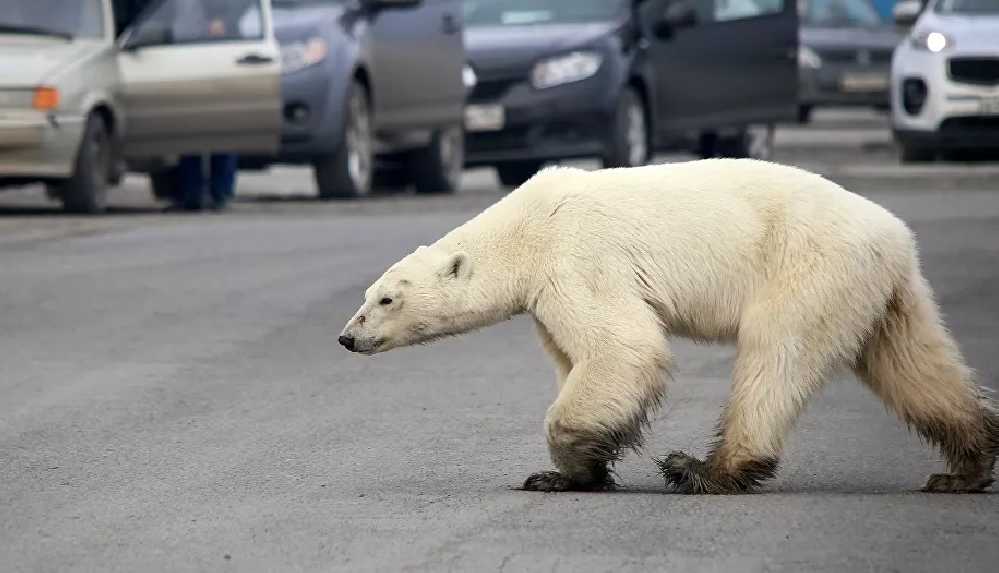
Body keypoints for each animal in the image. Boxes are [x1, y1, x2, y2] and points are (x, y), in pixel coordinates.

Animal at [340, 159, 996, 494]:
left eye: (386, 298)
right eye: (368, 295)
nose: (347, 336)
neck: (523, 227)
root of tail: (895, 234)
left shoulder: (576, 256)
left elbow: (621, 347)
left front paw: (566, 466)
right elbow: (576, 357)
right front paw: (572, 471)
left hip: (808, 265)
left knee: (775, 355)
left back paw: (705, 469)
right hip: (881, 290)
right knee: (912, 363)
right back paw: (964, 466)